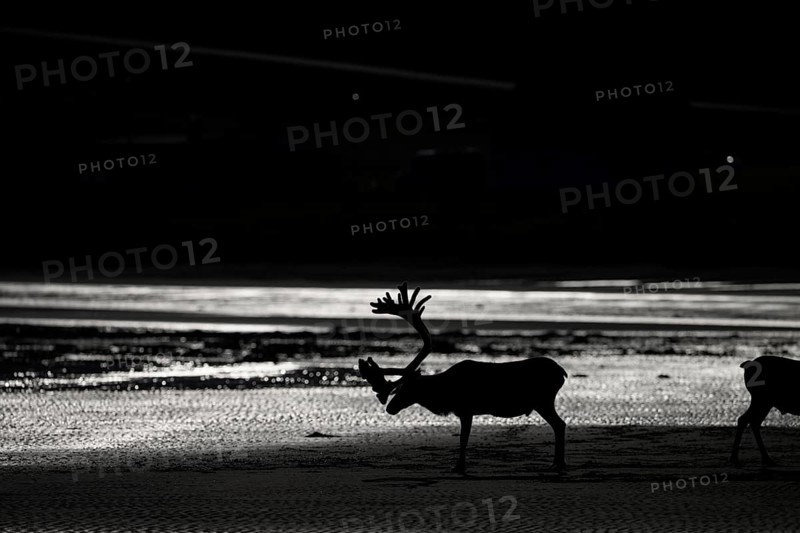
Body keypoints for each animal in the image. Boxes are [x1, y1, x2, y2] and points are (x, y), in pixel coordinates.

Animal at [358, 282, 568, 474]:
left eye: (408, 388)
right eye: (397, 388)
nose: (390, 408)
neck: (444, 392)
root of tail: (562, 372)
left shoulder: (466, 409)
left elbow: (463, 438)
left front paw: (458, 466)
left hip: (543, 400)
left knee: (560, 424)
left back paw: (557, 464)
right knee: (559, 425)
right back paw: (557, 463)